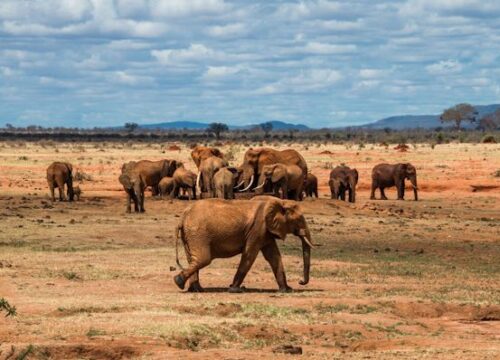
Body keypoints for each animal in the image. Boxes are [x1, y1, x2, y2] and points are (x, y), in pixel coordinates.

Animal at [173, 197, 312, 292]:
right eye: (299, 219)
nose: (300, 281)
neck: (280, 202)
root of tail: (183, 217)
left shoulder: (266, 232)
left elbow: (274, 256)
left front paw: (286, 290)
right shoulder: (257, 229)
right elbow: (249, 255)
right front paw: (234, 289)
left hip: (190, 235)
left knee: (193, 259)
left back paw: (196, 289)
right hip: (198, 234)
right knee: (203, 259)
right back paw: (179, 282)